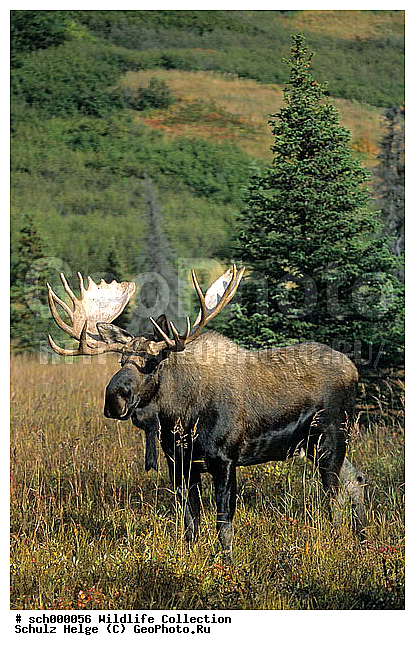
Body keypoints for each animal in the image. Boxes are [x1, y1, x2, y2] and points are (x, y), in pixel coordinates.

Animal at [47, 266, 366, 563]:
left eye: (153, 362)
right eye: (122, 360)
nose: (114, 398)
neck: (181, 418)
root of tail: (354, 369)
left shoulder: (224, 459)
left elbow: (223, 524)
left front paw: (228, 565)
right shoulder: (179, 463)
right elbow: (191, 523)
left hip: (331, 437)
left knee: (334, 495)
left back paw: (339, 541)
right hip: (312, 445)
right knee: (356, 479)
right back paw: (362, 541)